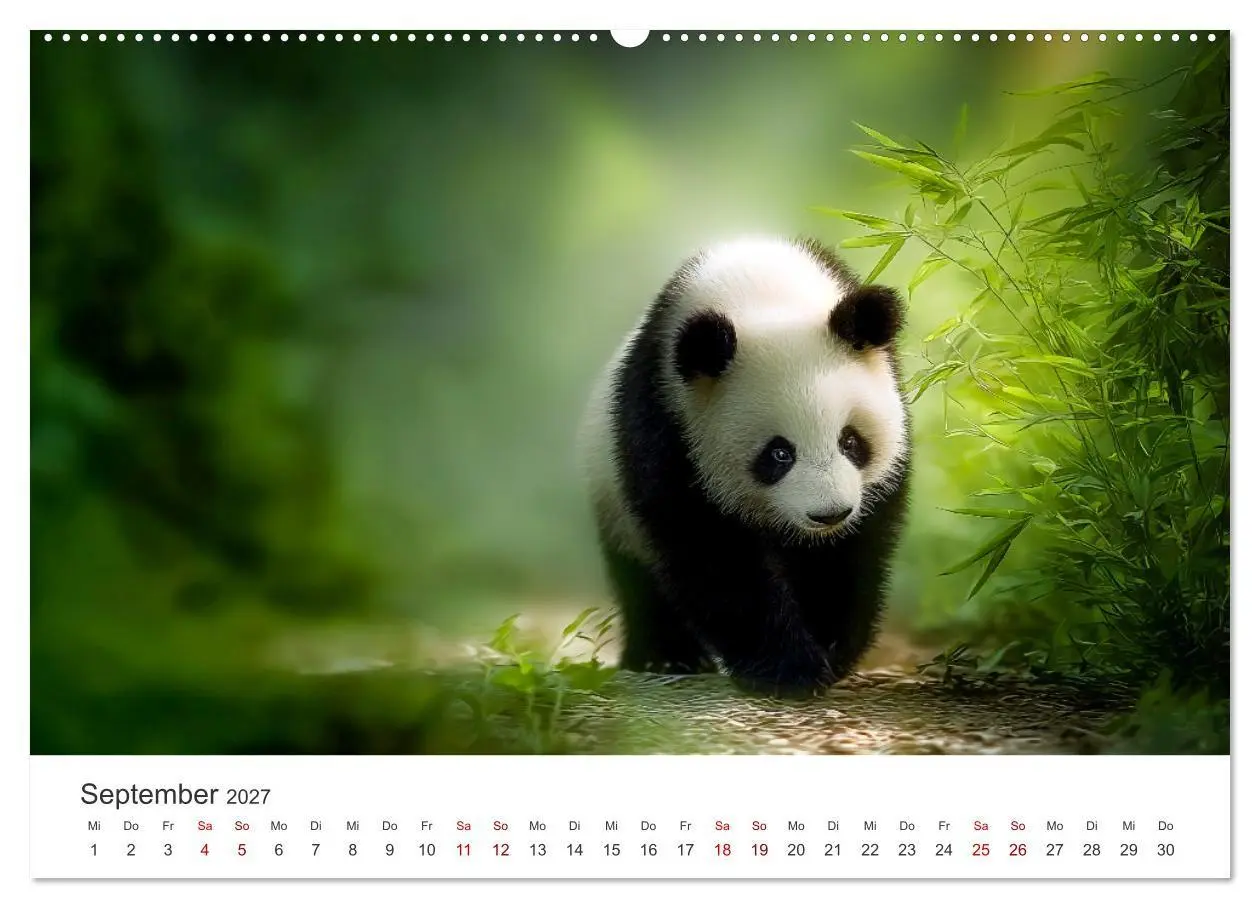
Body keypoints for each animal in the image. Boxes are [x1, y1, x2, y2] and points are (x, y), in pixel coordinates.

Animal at [579, 235, 911, 696]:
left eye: (850, 441)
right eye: (778, 453)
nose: (829, 514)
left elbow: (848, 551)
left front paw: (832, 648)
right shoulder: (667, 419)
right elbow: (710, 551)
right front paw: (788, 668)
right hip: (612, 500)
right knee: (640, 580)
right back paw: (666, 656)